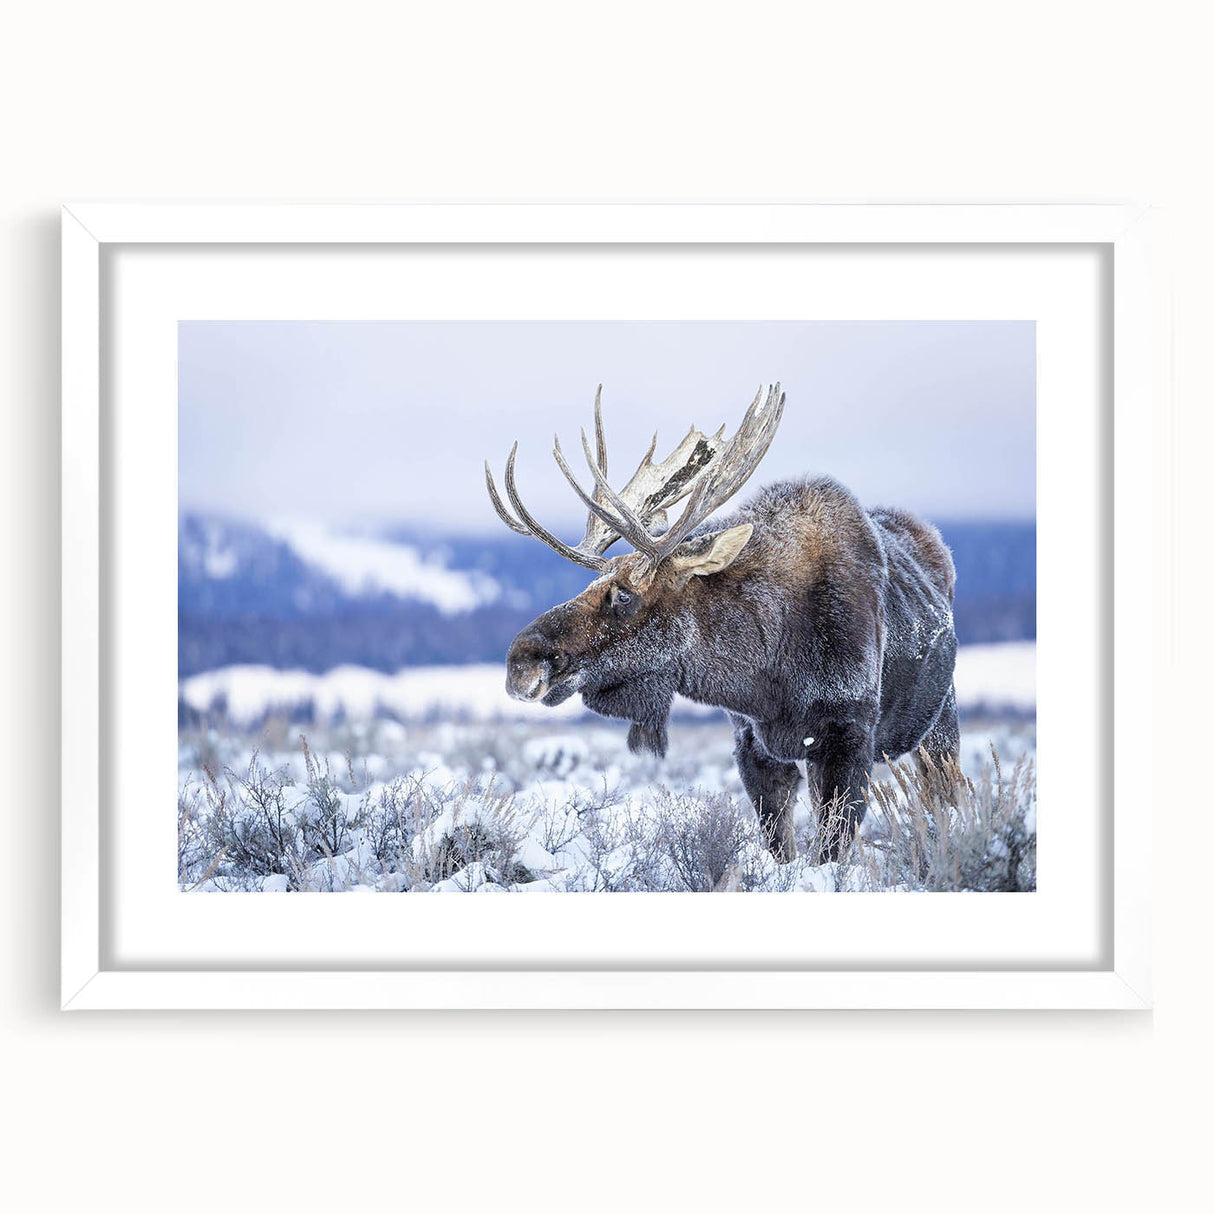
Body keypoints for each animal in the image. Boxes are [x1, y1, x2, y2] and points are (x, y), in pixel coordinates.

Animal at [485, 384, 960, 862]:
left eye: (624, 594)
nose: (520, 663)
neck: (767, 673)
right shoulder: (752, 744)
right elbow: (780, 846)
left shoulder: (848, 736)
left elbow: (831, 849)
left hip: (940, 723)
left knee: (946, 796)